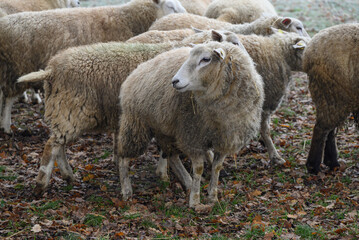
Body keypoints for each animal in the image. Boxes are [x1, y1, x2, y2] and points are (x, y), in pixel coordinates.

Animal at [16, 29, 240, 196]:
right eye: (234, 43)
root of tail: (51, 70)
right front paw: (167, 173)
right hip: (73, 110)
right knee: (52, 145)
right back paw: (42, 183)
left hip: (65, 111)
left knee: (58, 144)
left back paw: (68, 175)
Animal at [118, 40, 264, 206]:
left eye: (206, 59)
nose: (174, 81)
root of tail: (136, 70)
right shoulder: (193, 136)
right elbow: (199, 169)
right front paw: (195, 200)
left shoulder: (225, 139)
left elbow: (217, 167)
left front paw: (212, 197)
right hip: (136, 123)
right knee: (123, 158)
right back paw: (126, 191)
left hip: (166, 128)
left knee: (172, 156)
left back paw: (186, 181)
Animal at [304, 23, 359, 174]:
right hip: (333, 92)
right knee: (321, 128)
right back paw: (314, 166)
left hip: (330, 96)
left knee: (328, 130)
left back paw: (332, 163)